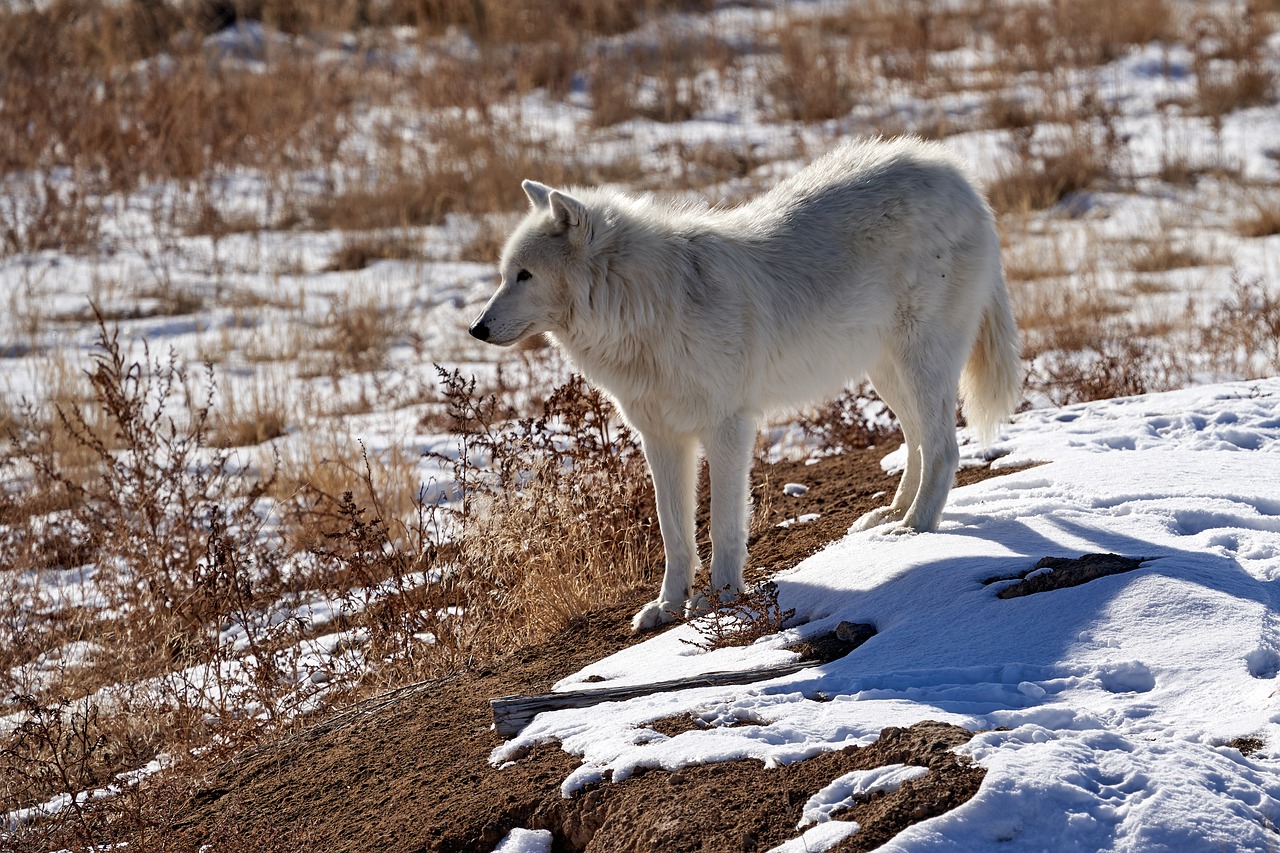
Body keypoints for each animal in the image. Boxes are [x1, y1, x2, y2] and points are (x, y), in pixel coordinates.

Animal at [469, 136, 1021, 631]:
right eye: (504, 274)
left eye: (524, 275)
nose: (476, 329)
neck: (645, 305)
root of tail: (960, 176)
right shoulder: (661, 438)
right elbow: (674, 532)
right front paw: (667, 607)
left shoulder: (727, 428)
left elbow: (724, 526)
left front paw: (720, 600)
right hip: (886, 374)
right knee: (919, 442)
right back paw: (889, 516)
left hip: (919, 364)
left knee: (945, 447)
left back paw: (914, 528)